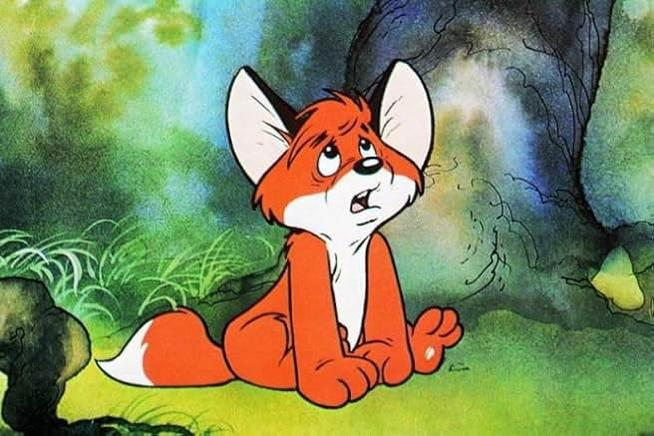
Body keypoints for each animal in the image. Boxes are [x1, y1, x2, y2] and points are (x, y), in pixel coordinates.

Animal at [98, 60, 463, 408]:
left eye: (367, 147)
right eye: (329, 156)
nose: (370, 166)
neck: (347, 247)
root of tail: (222, 351)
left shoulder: (379, 253)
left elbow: (388, 320)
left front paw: (392, 357)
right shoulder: (309, 261)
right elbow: (317, 333)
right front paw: (333, 376)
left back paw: (427, 341)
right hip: (261, 327)